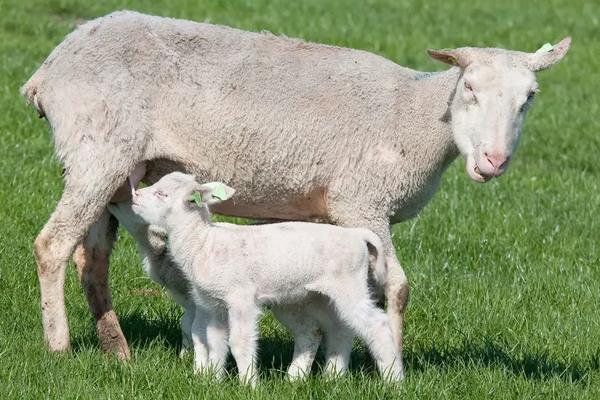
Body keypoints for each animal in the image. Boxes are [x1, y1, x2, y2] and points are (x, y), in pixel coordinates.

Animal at [21, 10, 568, 360]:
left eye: (529, 98)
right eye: (470, 89)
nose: (494, 162)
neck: (413, 120)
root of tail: (50, 67)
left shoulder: (343, 219)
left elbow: (356, 290)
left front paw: (340, 358)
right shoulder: (362, 201)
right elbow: (397, 287)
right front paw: (390, 359)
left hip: (111, 170)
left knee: (91, 261)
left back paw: (117, 351)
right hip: (96, 152)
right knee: (52, 245)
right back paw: (59, 348)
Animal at [128, 172, 400, 384]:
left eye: (162, 194)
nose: (135, 196)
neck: (204, 242)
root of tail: (357, 235)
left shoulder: (241, 298)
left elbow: (239, 342)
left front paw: (249, 384)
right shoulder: (213, 304)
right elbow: (215, 341)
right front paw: (213, 381)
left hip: (350, 285)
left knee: (377, 324)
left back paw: (393, 380)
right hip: (312, 297)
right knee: (331, 330)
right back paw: (320, 377)